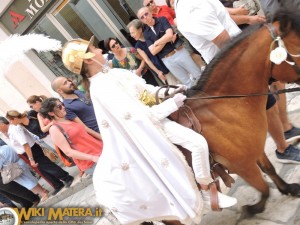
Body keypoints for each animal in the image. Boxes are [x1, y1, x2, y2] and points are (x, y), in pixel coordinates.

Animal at [183, 7, 300, 218]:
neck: (224, 106)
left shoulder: (254, 150)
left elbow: (269, 169)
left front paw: (288, 188)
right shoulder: (243, 166)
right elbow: (264, 188)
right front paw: (253, 208)